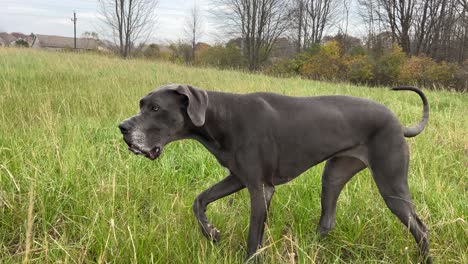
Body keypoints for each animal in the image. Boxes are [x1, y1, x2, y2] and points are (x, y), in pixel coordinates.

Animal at [118, 84, 432, 262]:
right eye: (141, 105)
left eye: (155, 107)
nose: (122, 128)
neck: (221, 117)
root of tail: (398, 122)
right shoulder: (238, 178)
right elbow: (199, 200)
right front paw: (211, 233)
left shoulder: (260, 188)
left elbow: (253, 238)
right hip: (334, 174)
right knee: (327, 220)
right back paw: (303, 250)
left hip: (392, 184)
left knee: (420, 228)